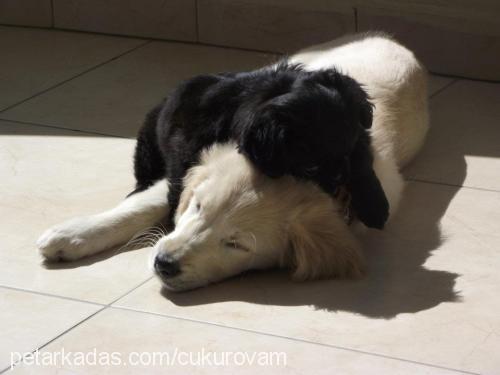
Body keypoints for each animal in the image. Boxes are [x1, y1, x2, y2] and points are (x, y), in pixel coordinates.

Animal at [38, 32, 430, 292]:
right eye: (198, 208)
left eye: (236, 245)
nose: (164, 263)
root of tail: (389, 39)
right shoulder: (189, 166)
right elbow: (144, 204)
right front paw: (72, 234)